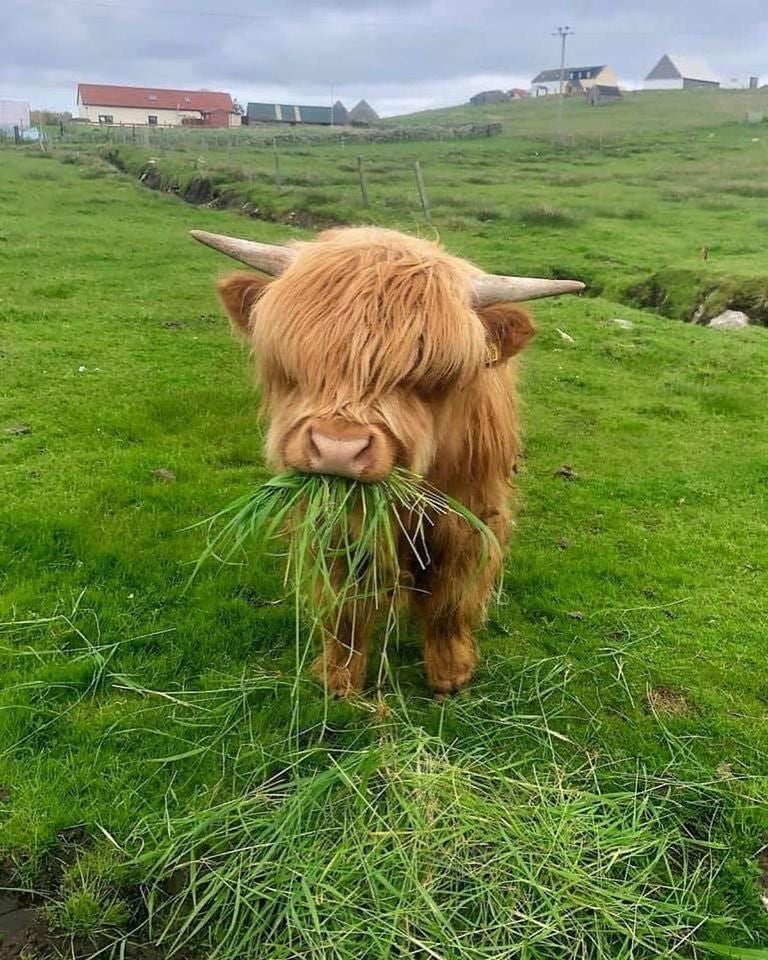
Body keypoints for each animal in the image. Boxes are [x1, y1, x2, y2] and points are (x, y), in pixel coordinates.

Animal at [192, 227, 583, 697]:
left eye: (431, 375)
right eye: (296, 363)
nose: (338, 449)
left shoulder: (468, 515)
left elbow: (451, 595)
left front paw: (450, 672)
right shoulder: (335, 524)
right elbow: (345, 601)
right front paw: (339, 676)